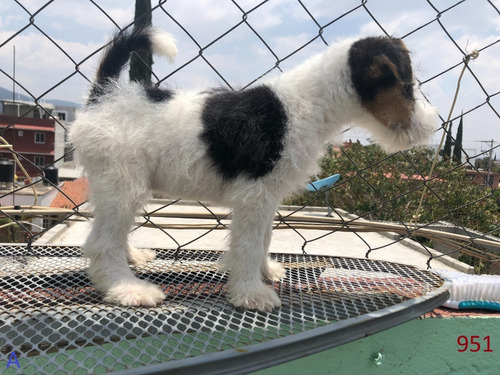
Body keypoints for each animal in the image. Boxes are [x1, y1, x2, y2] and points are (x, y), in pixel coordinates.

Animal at [70, 27, 438, 312]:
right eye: (406, 87)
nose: (432, 126)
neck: (306, 104)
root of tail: (104, 95)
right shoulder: (255, 194)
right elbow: (247, 245)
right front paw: (251, 293)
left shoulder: (269, 197)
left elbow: (263, 239)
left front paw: (265, 272)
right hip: (123, 184)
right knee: (101, 243)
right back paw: (127, 288)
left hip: (115, 186)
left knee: (110, 233)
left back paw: (133, 256)